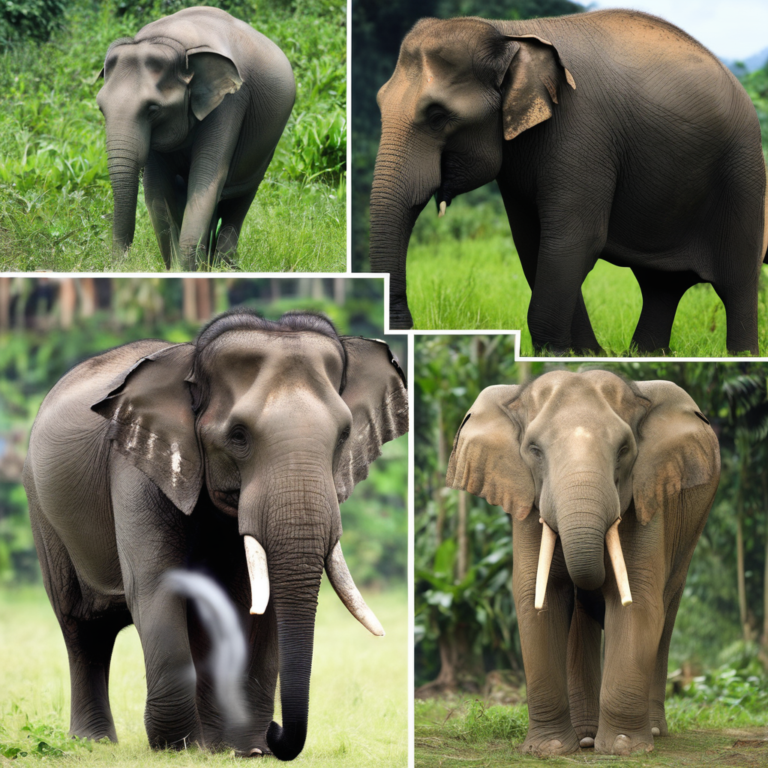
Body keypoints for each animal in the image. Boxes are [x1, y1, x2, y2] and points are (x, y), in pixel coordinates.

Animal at [22, 310, 408, 760]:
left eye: (344, 435)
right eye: (238, 436)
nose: (276, 734)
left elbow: (255, 601)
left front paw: (246, 750)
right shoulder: (136, 468)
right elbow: (157, 587)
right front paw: (177, 748)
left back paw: (211, 743)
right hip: (41, 509)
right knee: (81, 626)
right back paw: (96, 741)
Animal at [96, 7, 295, 270]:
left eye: (153, 110)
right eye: (101, 108)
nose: (120, 263)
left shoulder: (231, 101)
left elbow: (207, 176)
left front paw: (190, 267)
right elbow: (157, 191)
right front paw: (177, 267)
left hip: (267, 147)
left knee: (240, 200)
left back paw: (224, 264)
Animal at [370, 11, 768, 354]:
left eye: (438, 116)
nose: (406, 328)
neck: (509, 33)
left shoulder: (582, 131)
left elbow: (572, 241)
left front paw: (559, 354)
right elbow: (533, 243)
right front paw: (588, 354)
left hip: (742, 171)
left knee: (736, 283)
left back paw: (741, 356)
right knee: (661, 286)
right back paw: (642, 354)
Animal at [446, 370, 720, 756]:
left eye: (624, 450)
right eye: (534, 450)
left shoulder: (647, 498)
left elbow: (639, 601)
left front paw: (622, 747)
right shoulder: (528, 503)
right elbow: (537, 599)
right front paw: (549, 749)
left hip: (692, 526)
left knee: (666, 612)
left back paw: (649, 731)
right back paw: (586, 736)